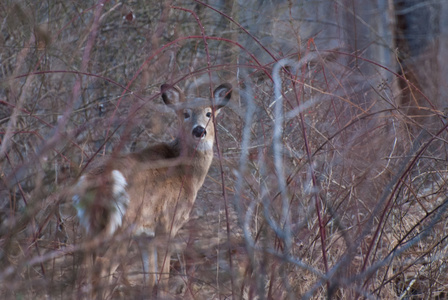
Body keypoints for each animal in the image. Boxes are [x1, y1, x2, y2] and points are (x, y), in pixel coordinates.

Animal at [72, 82, 233, 298]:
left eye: (209, 113)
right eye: (186, 113)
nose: (199, 131)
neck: (186, 172)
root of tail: (96, 180)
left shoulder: (145, 233)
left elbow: (149, 277)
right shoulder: (168, 221)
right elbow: (162, 275)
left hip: (88, 225)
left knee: (85, 266)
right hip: (122, 223)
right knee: (103, 265)